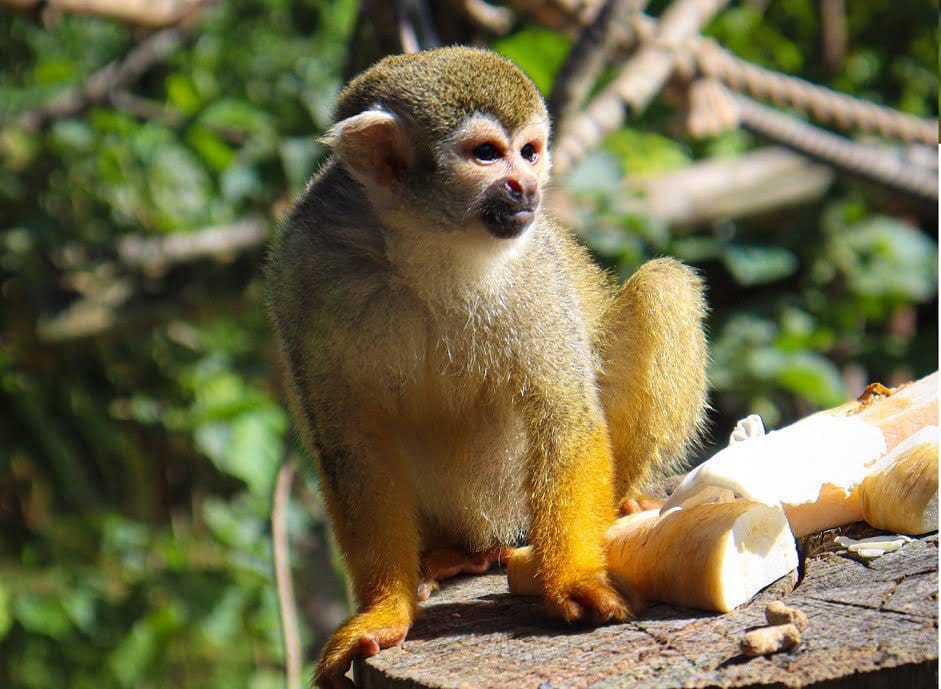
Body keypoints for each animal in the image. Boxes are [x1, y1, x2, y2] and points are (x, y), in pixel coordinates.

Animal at [265, 46, 708, 689]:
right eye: (486, 154)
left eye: (530, 151)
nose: (526, 188)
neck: (426, 248)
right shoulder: (307, 269)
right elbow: (352, 446)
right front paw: (385, 611)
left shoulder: (532, 267)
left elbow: (564, 411)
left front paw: (574, 580)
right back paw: (449, 557)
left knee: (662, 287)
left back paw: (621, 503)